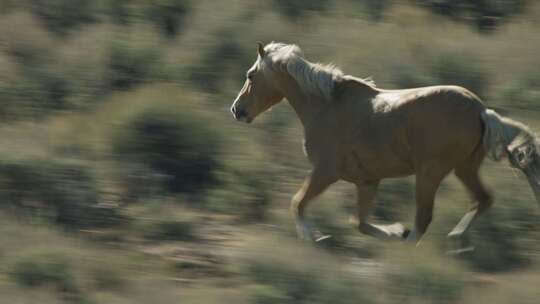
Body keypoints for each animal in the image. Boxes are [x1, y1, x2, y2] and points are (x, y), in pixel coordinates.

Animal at [230, 41, 540, 246]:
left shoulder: (324, 173)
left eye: (250, 75)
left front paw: (314, 236)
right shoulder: (367, 181)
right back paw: (454, 240)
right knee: (482, 199)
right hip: (464, 168)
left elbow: (297, 203)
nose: (237, 110)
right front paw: (394, 231)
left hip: (430, 174)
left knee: (424, 219)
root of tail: (481, 110)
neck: (326, 106)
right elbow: (360, 223)